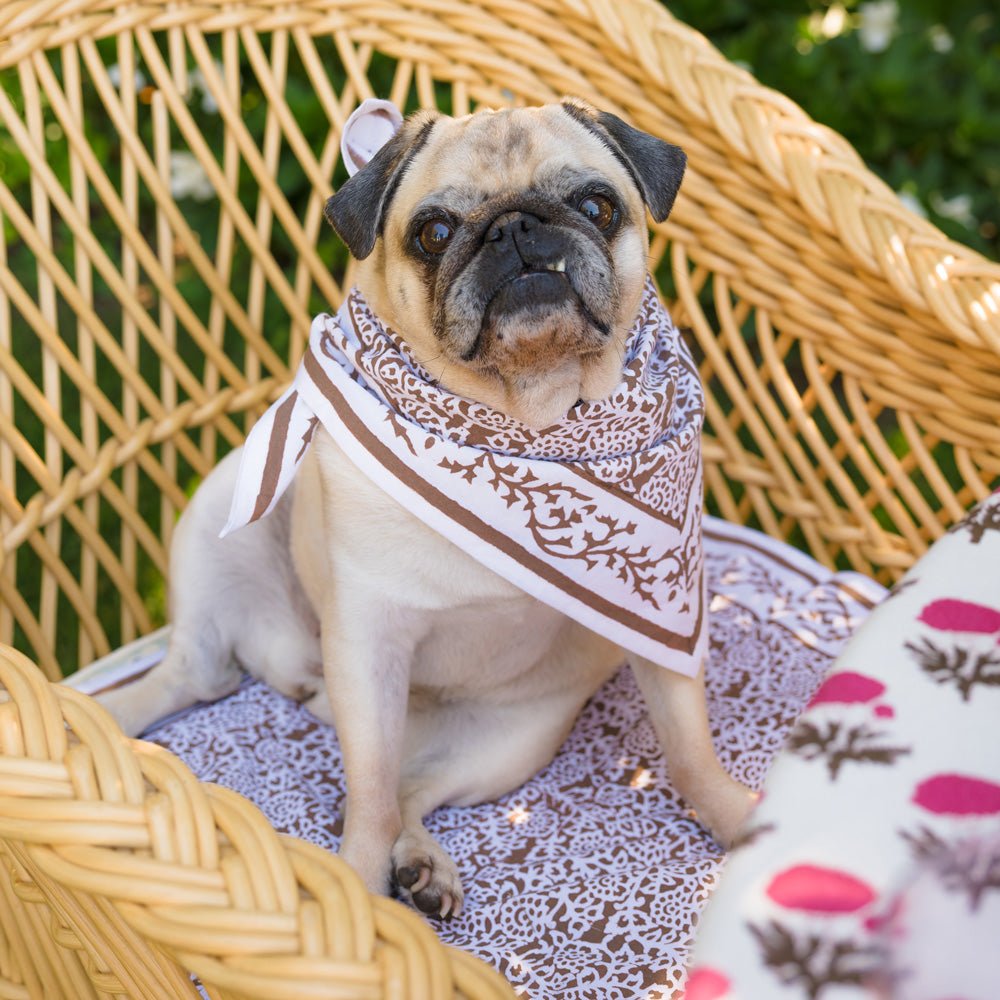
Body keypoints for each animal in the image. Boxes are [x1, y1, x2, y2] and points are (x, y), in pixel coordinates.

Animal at [103, 97, 756, 916]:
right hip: (215, 532)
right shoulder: (369, 643)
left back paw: (420, 866)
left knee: (411, 792)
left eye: (596, 206)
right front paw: (354, 890)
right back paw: (109, 724)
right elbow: (368, 797)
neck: (525, 418)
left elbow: (689, 746)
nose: (515, 228)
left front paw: (739, 819)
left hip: (508, 742)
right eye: (434, 232)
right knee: (198, 681)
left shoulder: (667, 615)